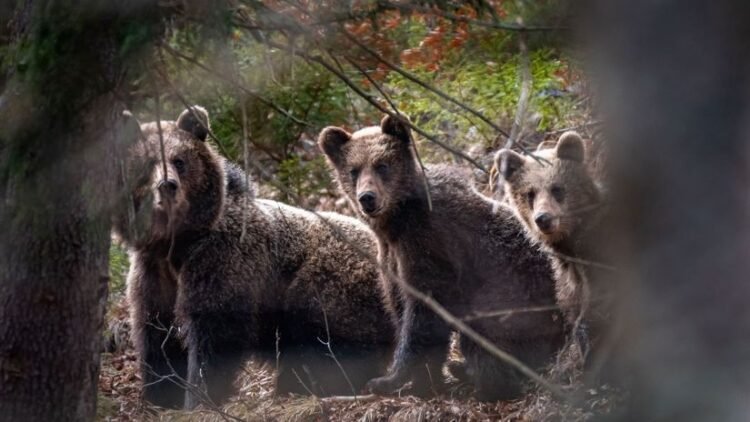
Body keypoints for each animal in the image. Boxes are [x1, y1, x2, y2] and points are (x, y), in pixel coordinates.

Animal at [112, 106, 395, 409]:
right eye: (147, 162)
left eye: (179, 160)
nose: (167, 186)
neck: (177, 244)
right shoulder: (153, 272)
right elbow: (157, 335)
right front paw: (161, 396)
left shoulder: (223, 262)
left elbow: (216, 335)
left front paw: (199, 398)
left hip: (332, 282)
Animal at [318, 115, 565, 401]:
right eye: (354, 170)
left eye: (382, 165)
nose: (367, 198)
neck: (397, 222)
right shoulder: (392, 258)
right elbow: (401, 308)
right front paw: (424, 381)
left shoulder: (430, 247)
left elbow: (423, 315)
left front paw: (389, 379)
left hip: (516, 296)